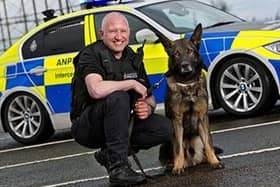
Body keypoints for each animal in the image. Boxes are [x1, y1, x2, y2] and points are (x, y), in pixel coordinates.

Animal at [159, 23, 224, 174]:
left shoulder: (202, 118)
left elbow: (209, 143)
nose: (185, 65)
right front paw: (177, 167)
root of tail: (192, 162)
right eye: (176, 54)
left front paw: (214, 162)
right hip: (165, 143)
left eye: (190, 51)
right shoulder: (176, 121)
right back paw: (172, 165)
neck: (188, 84)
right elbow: (178, 148)